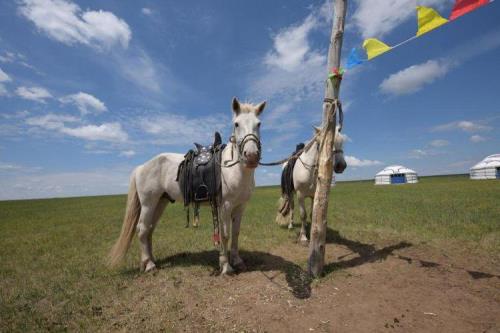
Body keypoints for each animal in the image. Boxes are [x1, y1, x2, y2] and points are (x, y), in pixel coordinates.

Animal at [108, 97, 268, 274]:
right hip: (148, 204)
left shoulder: (240, 207)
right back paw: (149, 265)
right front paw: (226, 266)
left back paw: (151, 260)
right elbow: (225, 235)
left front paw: (237, 261)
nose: (251, 156)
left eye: (259, 124)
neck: (232, 170)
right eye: (237, 124)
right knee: (142, 229)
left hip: (160, 202)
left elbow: (236, 233)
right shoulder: (225, 206)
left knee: (149, 229)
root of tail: (141, 167)